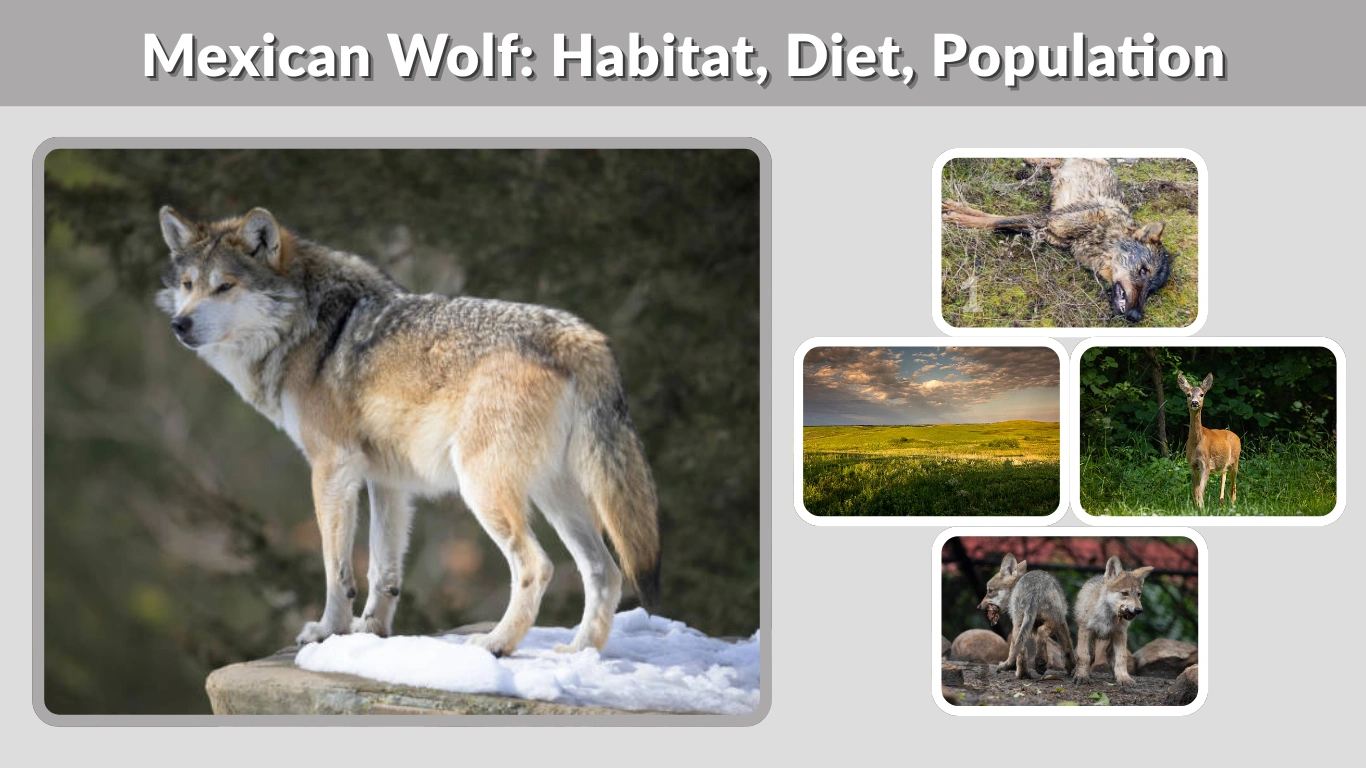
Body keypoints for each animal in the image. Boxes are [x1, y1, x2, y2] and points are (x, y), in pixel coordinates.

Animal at [155, 206, 661, 657]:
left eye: (225, 286)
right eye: (188, 285)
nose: (179, 324)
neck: (310, 328)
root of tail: (582, 338)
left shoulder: (331, 469)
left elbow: (337, 569)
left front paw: (327, 632)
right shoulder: (388, 482)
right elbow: (383, 572)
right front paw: (371, 633)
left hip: (485, 489)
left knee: (537, 566)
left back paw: (496, 644)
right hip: (557, 497)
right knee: (605, 571)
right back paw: (579, 653)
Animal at [942, 158, 1175, 322]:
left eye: (1152, 289)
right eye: (1143, 270)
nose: (1135, 317)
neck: (1100, 234)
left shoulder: (1045, 231)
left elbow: (999, 222)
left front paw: (958, 213)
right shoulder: (1047, 219)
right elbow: (994, 219)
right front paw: (959, 213)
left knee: (1054, 165)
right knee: (1054, 159)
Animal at [1073, 556, 1155, 687]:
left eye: (1138, 594)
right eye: (1125, 593)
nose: (1139, 610)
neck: (1107, 616)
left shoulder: (1120, 633)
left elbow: (1121, 658)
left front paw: (1124, 678)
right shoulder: (1086, 630)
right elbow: (1084, 656)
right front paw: (1081, 676)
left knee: (1110, 654)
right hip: (1089, 637)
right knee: (1090, 655)